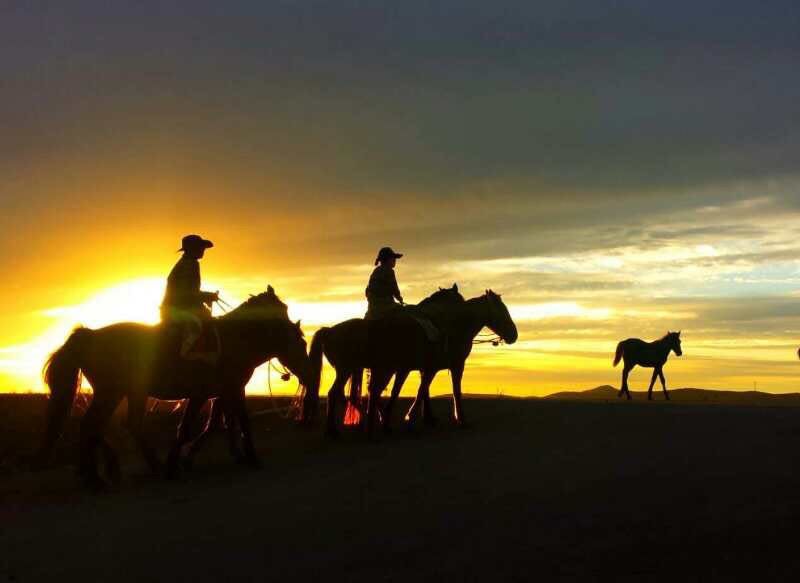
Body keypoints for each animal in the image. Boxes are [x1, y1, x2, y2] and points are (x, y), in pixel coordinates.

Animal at [40, 288, 310, 488]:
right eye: (302, 342)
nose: (307, 373)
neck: (235, 340)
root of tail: (90, 335)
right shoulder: (214, 392)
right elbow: (210, 425)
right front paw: (249, 457)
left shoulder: (222, 392)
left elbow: (219, 424)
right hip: (111, 393)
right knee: (93, 425)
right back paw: (98, 476)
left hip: (130, 393)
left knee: (119, 425)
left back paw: (120, 469)